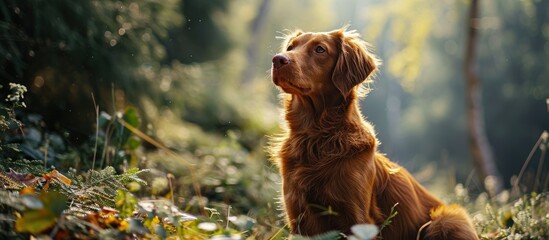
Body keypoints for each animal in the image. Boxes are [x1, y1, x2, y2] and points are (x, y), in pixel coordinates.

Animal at [270, 25, 480, 239]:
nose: (278, 59)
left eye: (320, 49)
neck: (315, 136)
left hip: (447, 219)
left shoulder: (358, 218)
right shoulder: (298, 216)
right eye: (290, 47)